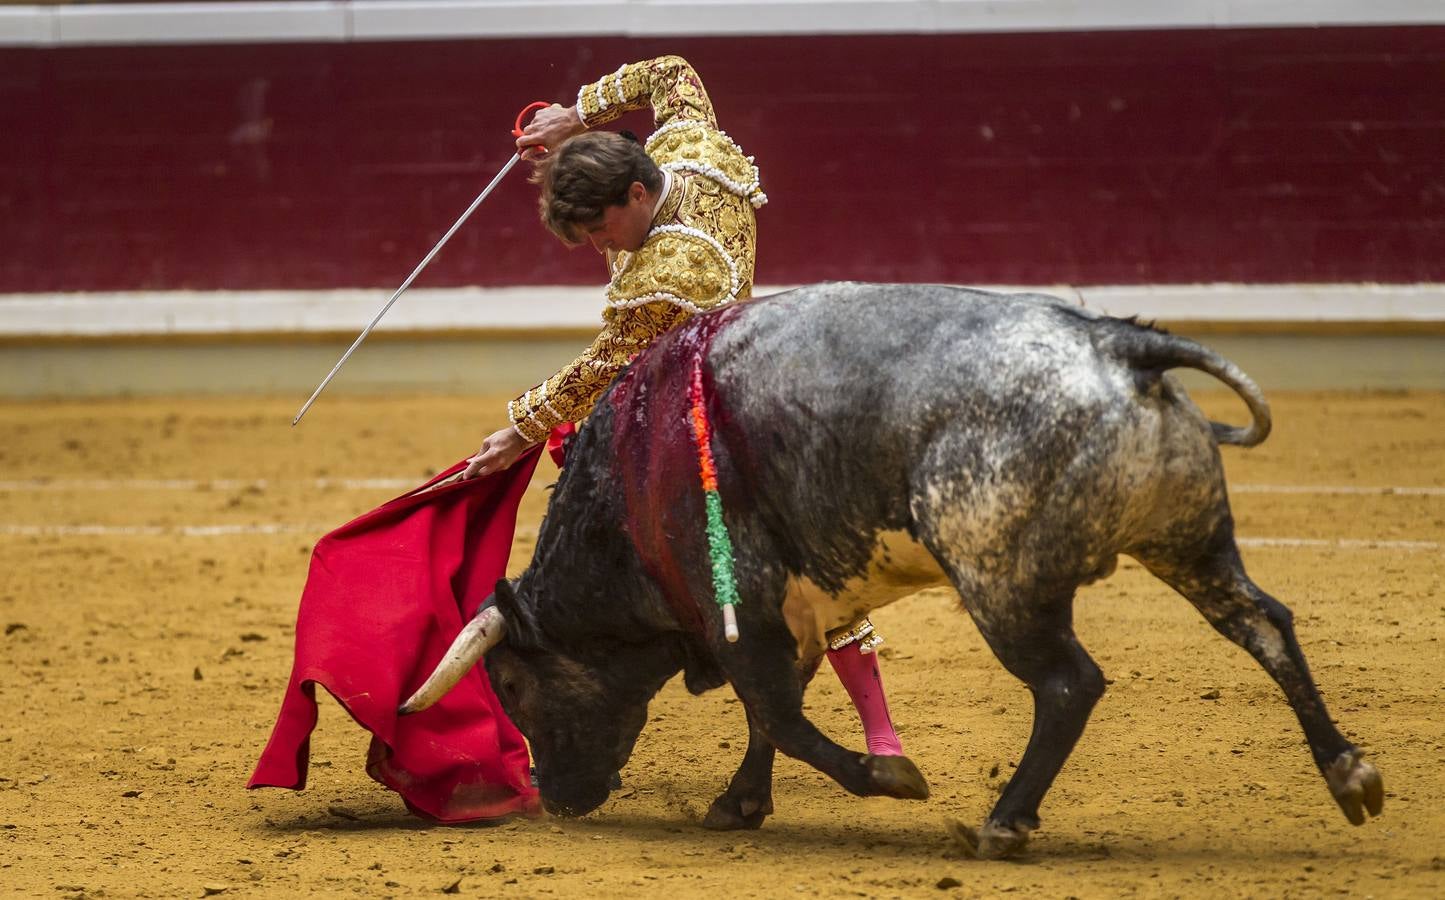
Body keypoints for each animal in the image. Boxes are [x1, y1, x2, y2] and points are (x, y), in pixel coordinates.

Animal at [401, 283, 1381, 860]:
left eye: (512, 687)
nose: (557, 799)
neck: (630, 480)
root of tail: (1119, 348)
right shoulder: (793, 611)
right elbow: (772, 716)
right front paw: (739, 804)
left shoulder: (740, 607)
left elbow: (780, 717)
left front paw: (890, 779)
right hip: (1190, 538)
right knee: (1262, 622)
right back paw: (1348, 775)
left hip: (1000, 579)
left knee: (1068, 684)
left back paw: (1002, 822)